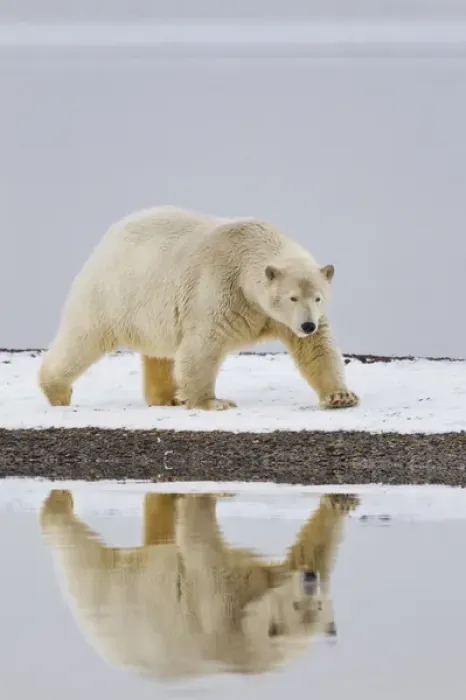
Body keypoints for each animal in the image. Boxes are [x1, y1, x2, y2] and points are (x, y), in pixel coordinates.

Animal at [38, 205, 359, 411]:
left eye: (318, 297)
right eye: (292, 297)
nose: (307, 325)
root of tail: (107, 238)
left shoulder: (277, 316)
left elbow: (316, 349)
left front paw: (341, 397)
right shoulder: (221, 288)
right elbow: (204, 345)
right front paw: (214, 402)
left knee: (159, 354)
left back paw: (168, 398)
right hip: (112, 293)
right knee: (83, 339)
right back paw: (57, 391)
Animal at [40, 489, 359, 679]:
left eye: (319, 607)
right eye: (296, 606)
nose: (310, 579)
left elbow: (309, 550)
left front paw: (340, 502)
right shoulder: (219, 608)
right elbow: (198, 536)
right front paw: (201, 498)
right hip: (112, 595)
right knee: (80, 555)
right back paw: (57, 505)